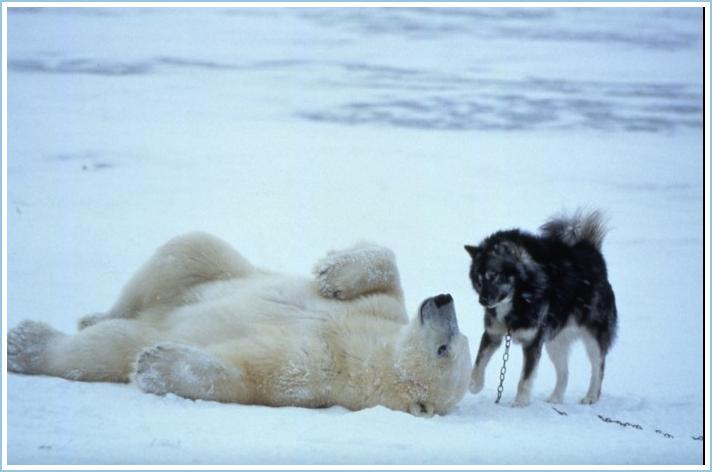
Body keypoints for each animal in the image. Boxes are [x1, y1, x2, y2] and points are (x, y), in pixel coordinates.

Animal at [8, 232, 472, 416]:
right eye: (459, 338)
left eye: (446, 348)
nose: (445, 300)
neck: (369, 349)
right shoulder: (383, 312)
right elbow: (387, 270)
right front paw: (332, 273)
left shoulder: (320, 369)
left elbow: (250, 372)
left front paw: (156, 364)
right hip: (206, 271)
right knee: (187, 251)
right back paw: (93, 314)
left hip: (146, 326)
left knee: (106, 346)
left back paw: (25, 343)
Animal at [468, 210, 616, 406]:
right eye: (479, 279)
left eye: (493, 276)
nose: (482, 301)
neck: (517, 300)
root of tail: (592, 252)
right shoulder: (493, 334)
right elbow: (479, 362)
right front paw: (474, 385)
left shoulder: (532, 342)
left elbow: (525, 379)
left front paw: (519, 404)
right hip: (555, 342)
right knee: (564, 373)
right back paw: (555, 398)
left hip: (592, 338)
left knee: (598, 367)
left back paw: (591, 396)